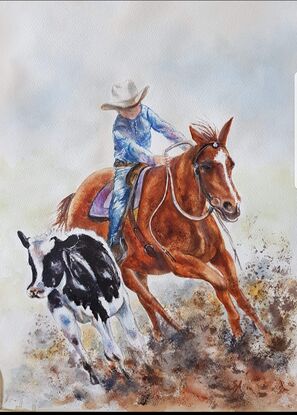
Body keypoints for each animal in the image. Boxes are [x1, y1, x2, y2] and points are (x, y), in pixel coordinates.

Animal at [17, 229, 145, 386]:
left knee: (133, 336)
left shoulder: (98, 314)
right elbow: (79, 344)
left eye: (53, 260)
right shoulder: (63, 317)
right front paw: (95, 378)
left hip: (121, 302)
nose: (34, 290)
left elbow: (114, 351)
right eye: (30, 263)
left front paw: (131, 375)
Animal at [53, 118, 270, 346]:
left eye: (231, 163)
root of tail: (74, 199)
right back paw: (180, 329)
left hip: (138, 269)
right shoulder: (180, 263)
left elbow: (235, 288)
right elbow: (221, 283)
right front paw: (237, 330)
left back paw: (159, 334)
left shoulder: (220, 253)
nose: (231, 206)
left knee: (145, 298)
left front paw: (267, 335)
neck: (180, 208)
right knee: (148, 298)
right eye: (206, 166)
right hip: (120, 270)